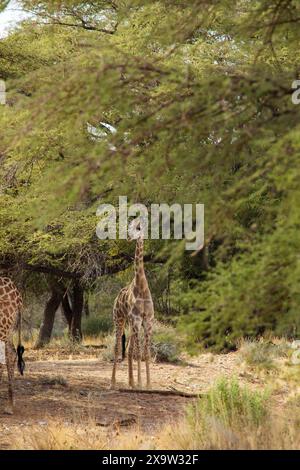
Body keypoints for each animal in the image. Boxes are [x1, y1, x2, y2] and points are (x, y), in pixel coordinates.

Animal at [112, 219, 155, 390]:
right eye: (129, 226)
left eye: (138, 227)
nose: (129, 238)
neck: (141, 286)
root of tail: (116, 297)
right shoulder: (137, 320)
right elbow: (138, 352)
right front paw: (141, 383)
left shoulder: (148, 320)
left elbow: (145, 353)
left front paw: (148, 385)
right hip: (119, 319)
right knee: (117, 347)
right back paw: (112, 383)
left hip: (129, 324)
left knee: (129, 349)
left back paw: (131, 383)